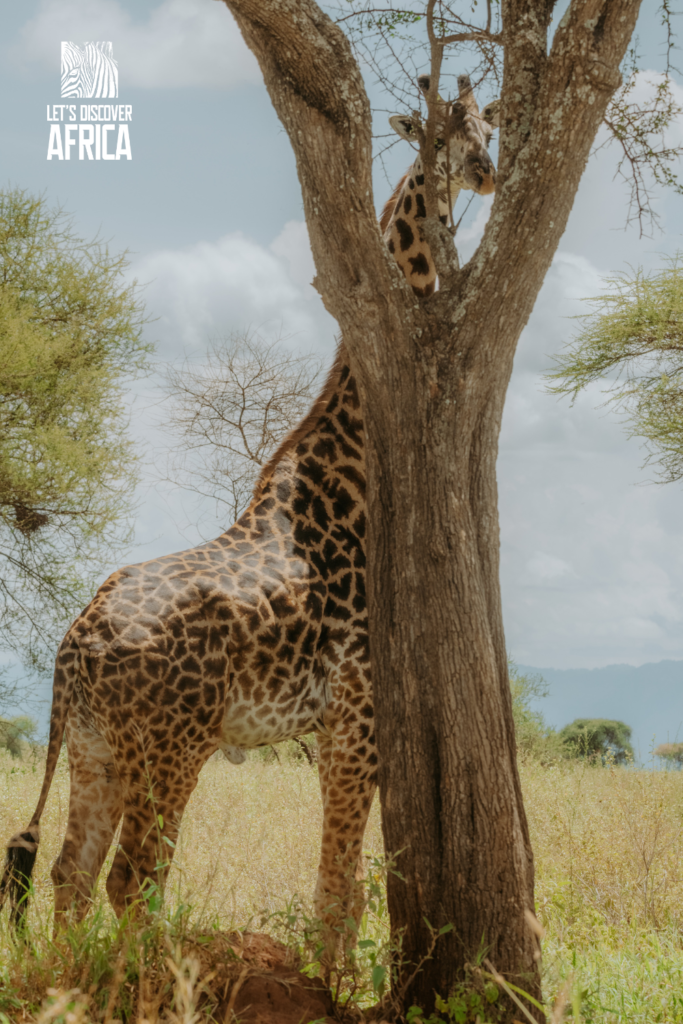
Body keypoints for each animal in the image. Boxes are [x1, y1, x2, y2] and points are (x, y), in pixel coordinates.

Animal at [0, 76, 498, 948]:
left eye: (484, 126)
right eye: (437, 135)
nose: (484, 172)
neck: (351, 479)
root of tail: (76, 644)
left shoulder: (341, 725)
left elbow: (340, 889)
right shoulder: (356, 717)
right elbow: (340, 892)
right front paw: (330, 978)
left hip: (96, 746)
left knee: (72, 870)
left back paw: (75, 973)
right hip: (173, 744)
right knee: (134, 874)